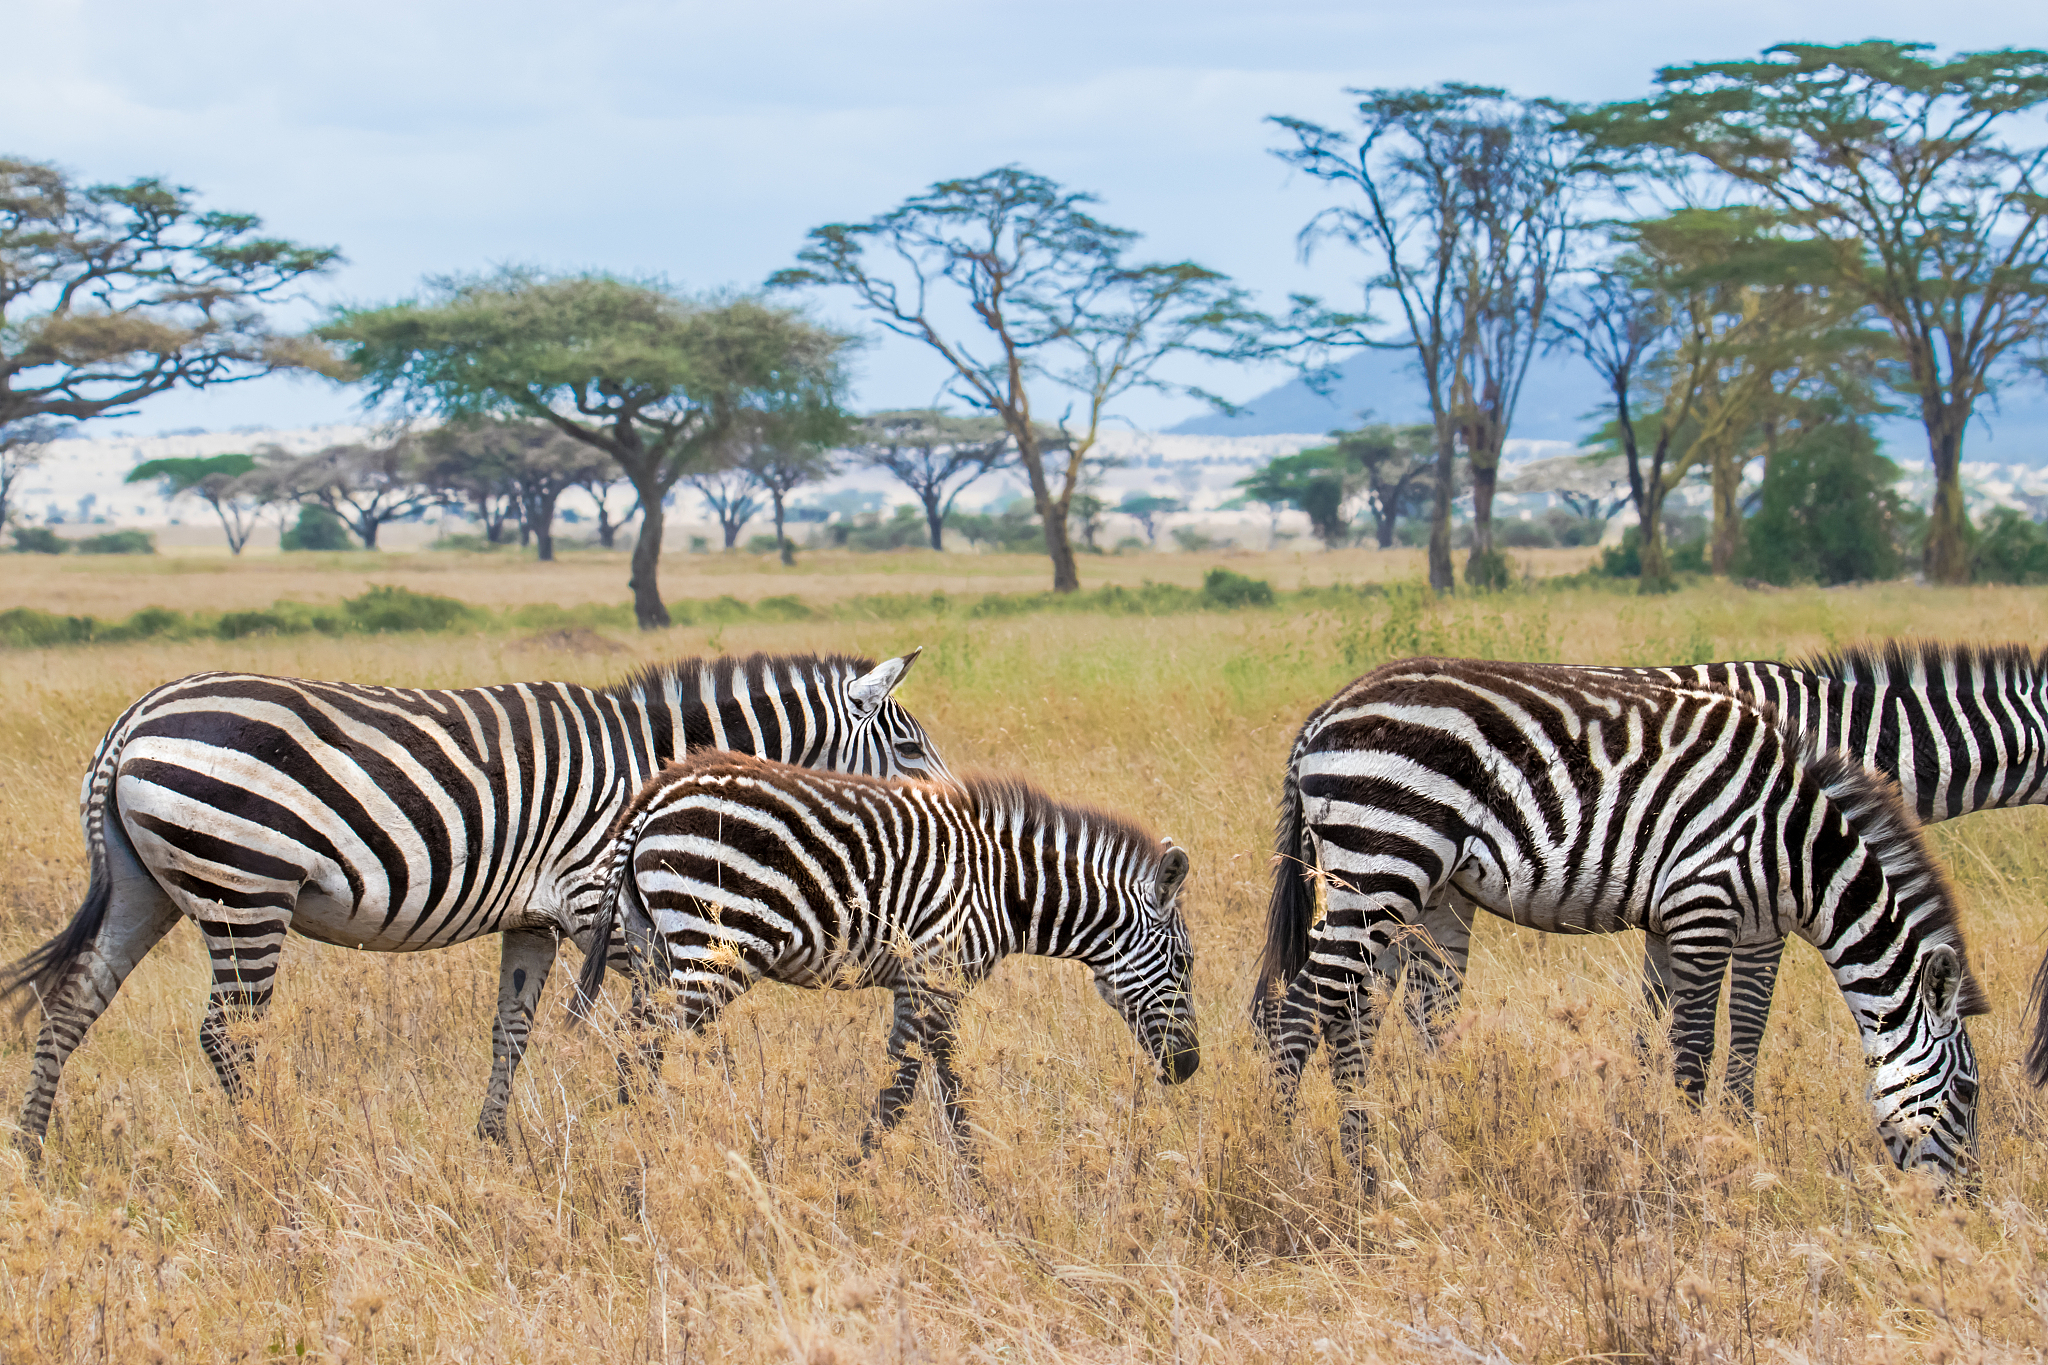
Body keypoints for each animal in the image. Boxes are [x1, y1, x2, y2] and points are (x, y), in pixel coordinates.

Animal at [2, 651, 950, 1150]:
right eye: (909, 746)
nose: (956, 812)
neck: (656, 770)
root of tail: (133, 721)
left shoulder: (536, 919)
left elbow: (513, 1030)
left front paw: (492, 1143)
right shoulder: (605, 904)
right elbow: (665, 1027)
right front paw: (680, 1124)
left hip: (149, 886)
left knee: (74, 999)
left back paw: (35, 1148)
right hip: (246, 886)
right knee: (226, 1031)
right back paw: (271, 1149)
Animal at [575, 751, 1198, 1142]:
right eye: (1184, 963)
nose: (1189, 1066)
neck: (1003, 888)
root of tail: (659, 794)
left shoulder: (927, 986)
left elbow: (945, 1087)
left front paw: (974, 1193)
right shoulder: (932, 977)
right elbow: (905, 1088)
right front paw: (855, 1184)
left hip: (655, 945)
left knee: (633, 1043)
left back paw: (628, 1149)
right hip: (710, 951)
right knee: (653, 1048)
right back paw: (652, 1156)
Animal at [1252, 658, 1987, 1186]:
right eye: (1967, 1091)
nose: (1967, 1204)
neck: (1797, 845)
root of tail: (1322, 717)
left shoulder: (1682, 922)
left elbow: (1660, 1034)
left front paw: (1652, 1139)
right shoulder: (1703, 905)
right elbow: (1695, 1048)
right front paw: (1690, 1168)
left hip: (1403, 885)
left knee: (1353, 1013)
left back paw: (1378, 1164)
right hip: (1383, 860)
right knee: (1298, 1012)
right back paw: (1286, 1163)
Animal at [1393, 640, 2047, 1109]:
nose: (2036, 1072)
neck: (1854, 735)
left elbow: (1655, 1015)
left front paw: (1642, 1110)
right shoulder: (1763, 893)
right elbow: (1746, 1021)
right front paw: (1733, 1121)